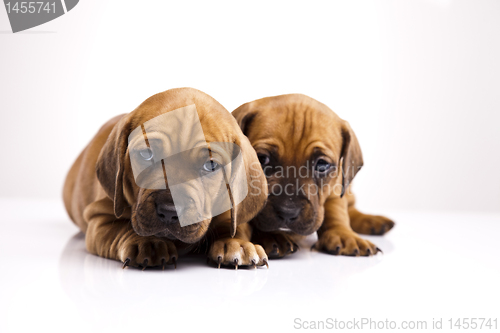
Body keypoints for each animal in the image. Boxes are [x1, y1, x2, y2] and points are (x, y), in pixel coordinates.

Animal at [65, 87, 272, 268]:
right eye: (146, 154)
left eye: (211, 166)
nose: (170, 211)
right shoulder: (98, 218)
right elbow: (121, 229)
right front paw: (146, 243)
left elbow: (235, 225)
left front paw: (237, 243)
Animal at [232, 93, 396, 256]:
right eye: (261, 159)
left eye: (322, 165)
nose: (287, 212)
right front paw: (272, 236)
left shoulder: (336, 187)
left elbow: (336, 210)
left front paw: (344, 235)